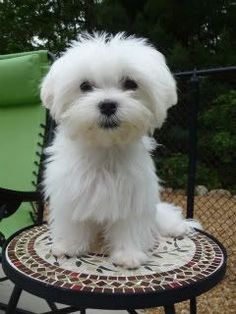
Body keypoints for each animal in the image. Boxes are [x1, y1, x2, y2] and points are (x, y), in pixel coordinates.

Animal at [41, 31, 201, 268]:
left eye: (130, 83)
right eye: (85, 86)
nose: (108, 105)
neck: (106, 148)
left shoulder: (134, 196)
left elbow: (129, 226)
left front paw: (128, 255)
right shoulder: (72, 191)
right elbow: (73, 222)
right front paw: (69, 246)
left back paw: (177, 227)